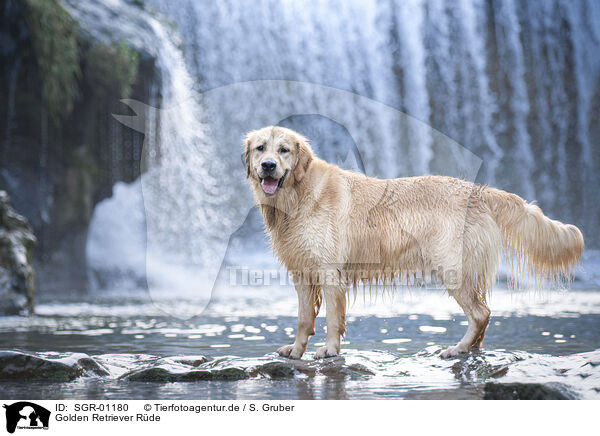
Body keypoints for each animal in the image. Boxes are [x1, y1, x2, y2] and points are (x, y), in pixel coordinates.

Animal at [241, 125, 584, 358]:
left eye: (284, 150)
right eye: (260, 148)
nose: (268, 166)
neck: (297, 196)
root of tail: (479, 190)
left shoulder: (329, 272)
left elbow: (332, 320)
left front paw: (328, 350)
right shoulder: (301, 273)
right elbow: (303, 319)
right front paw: (296, 350)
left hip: (453, 269)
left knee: (480, 314)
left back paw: (458, 348)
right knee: (484, 315)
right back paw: (472, 349)